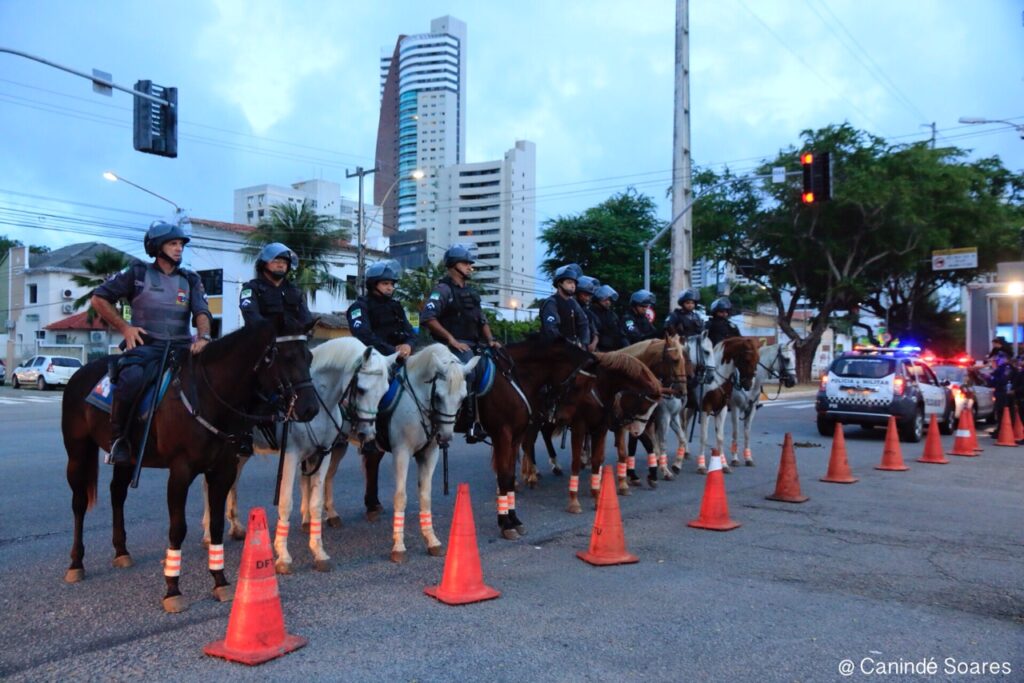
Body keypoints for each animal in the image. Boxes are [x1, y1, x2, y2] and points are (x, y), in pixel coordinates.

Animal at [61, 319, 315, 614]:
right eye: (287, 357)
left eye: (309, 357)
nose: (310, 408)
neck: (209, 396)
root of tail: (79, 373)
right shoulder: (180, 472)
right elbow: (177, 528)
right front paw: (173, 588)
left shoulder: (223, 471)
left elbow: (216, 524)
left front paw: (220, 580)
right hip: (78, 451)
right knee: (79, 503)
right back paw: (76, 562)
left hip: (127, 458)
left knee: (117, 494)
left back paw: (121, 551)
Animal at [201, 339, 393, 573]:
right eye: (363, 390)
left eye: (384, 391)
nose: (368, 434)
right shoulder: (291, 456)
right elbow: (286, 502)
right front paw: (283, 556)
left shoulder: (322, 454)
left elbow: (315, 501)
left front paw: (318, 551)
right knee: (209, 486)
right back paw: (209, 535)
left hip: (240, 451)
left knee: (232, 482)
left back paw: (236, 527)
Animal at [303, 344, 479, 565]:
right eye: (438, 396)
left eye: (463, 398)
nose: (445, 437)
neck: (416, 401)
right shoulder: (401, 452)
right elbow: (400, 497)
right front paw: (399, 547)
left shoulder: (430, 454)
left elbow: (425, 496)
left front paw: (432, 540)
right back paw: (308, 520)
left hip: (337, 445)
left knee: (327, 476)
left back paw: (332, 515)